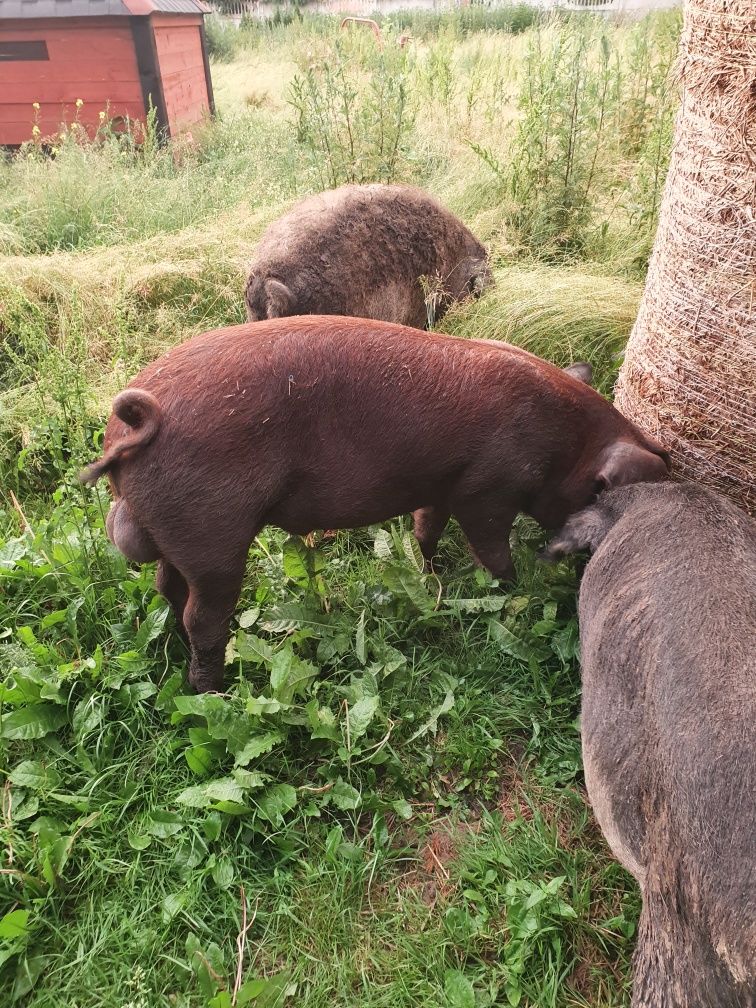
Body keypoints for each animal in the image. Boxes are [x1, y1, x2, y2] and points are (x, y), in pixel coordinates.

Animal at [80, 314, 673, 693]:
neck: (563, 445)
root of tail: (138, 422)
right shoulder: (488, 488)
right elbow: (490, 545)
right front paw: (513, 590)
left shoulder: (441, 484)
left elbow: (425, 529)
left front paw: (433, 579)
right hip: (213, 532)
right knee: (203, 613)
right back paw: (209, 691)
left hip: (181, 534)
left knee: (168, 587)